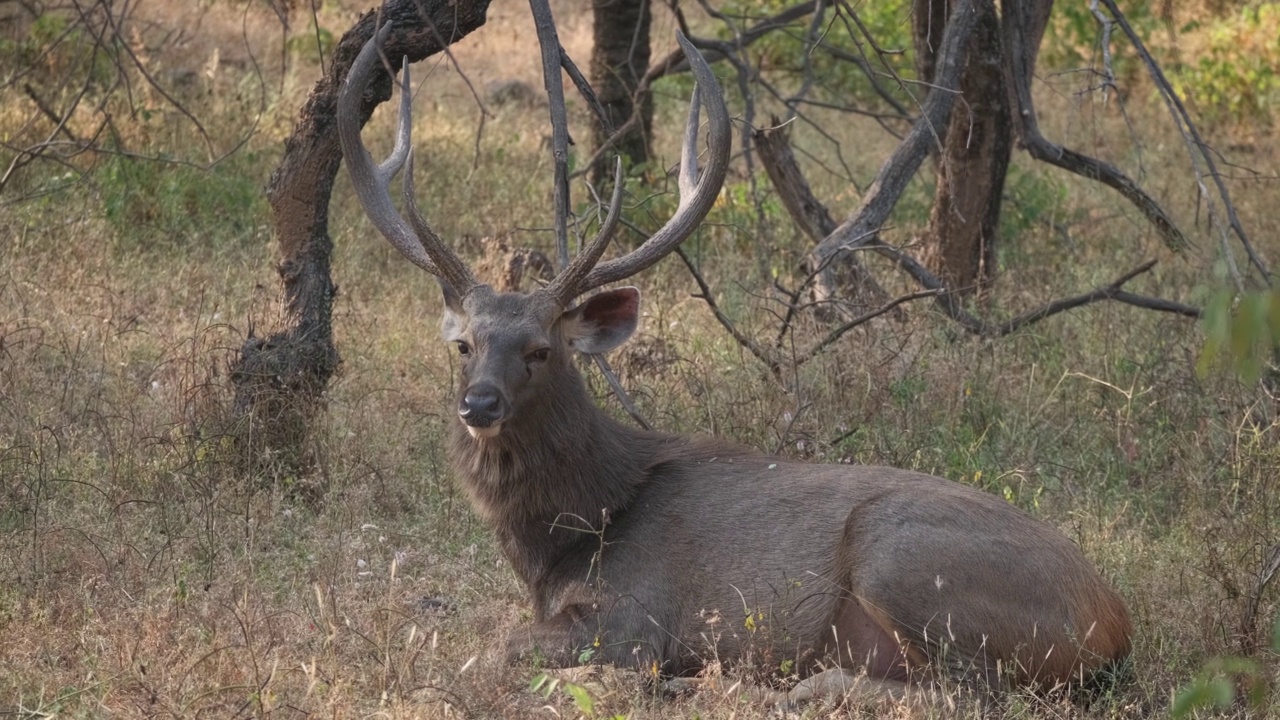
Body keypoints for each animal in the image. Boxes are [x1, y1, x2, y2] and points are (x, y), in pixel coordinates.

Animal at [337, 20, 1131, 702]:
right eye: (464, 344)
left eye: (541, 349)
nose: (479, 404)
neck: (571, 535)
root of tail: (1113, 626)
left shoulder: (636, 618)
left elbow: (498, 646)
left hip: (908, 561)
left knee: (967, 688)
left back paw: (772, 687)